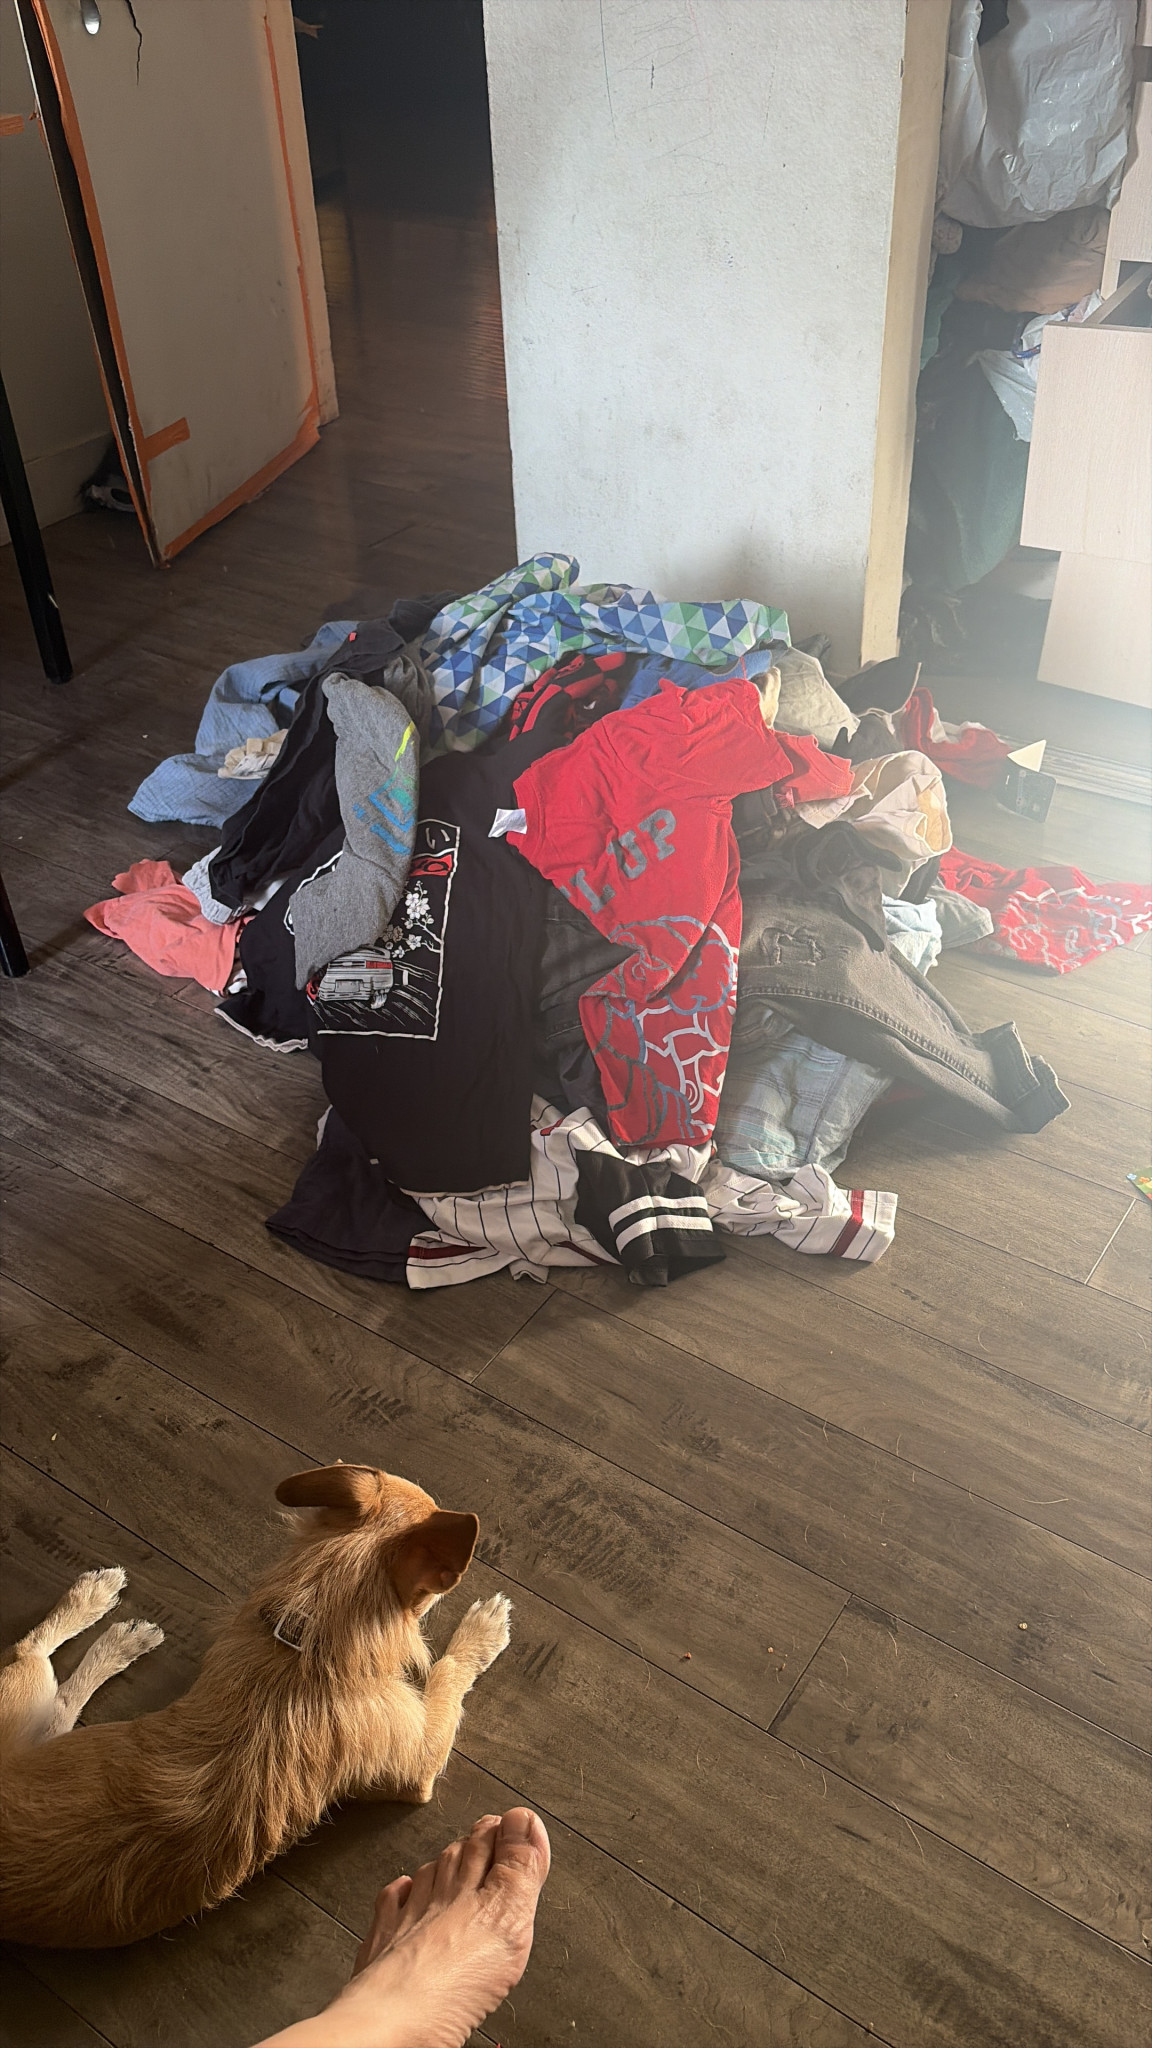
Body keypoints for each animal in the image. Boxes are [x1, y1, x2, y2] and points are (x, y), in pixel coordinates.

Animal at [0, 1463, 511, 1947]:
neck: (308, 1641)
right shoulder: (419, 1764)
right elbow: (448, 1672)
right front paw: (483, 1631)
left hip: (51, 1736)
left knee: (63, 1700)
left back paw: (119, 1642)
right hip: (24, 1690)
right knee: (30, 1649)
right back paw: (93, 1601)